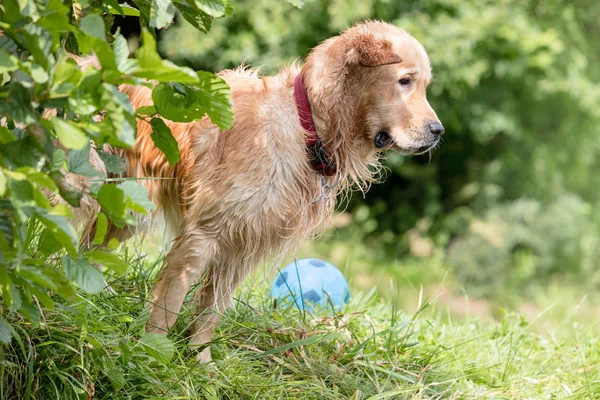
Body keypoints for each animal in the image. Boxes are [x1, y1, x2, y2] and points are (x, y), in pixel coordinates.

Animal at [65, 20, 442, 360]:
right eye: (404, 81)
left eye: (424, 85)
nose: (438, 131)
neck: (306, 127)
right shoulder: (205, 233)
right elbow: (171, 303)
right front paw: (153, 353)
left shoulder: (243, 243)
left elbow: (212, 311)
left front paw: (201, 363)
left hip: (125, 207)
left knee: (88, 252)